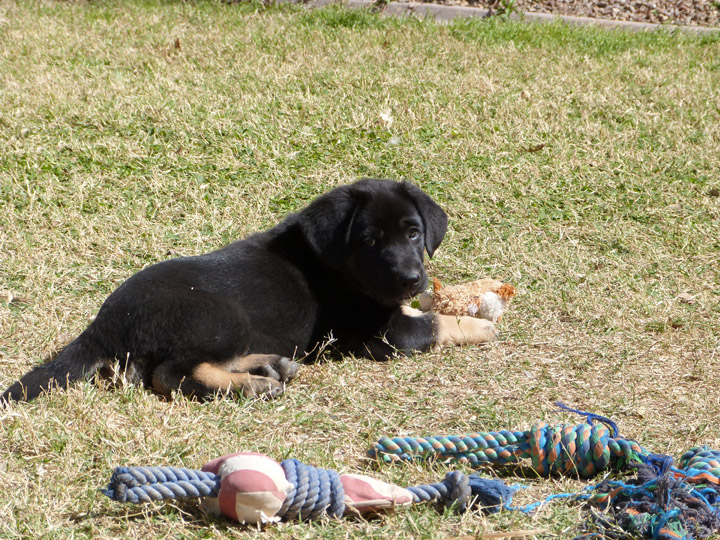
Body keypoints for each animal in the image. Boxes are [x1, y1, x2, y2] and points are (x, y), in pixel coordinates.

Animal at [1, 179, 496, 402]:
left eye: (413, 233)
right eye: (370, 241)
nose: (411, 279)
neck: (335, 266)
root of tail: (101, 325)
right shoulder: (382, 334)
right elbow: (433, 325)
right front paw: (480, 326)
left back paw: (270, 366)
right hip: (221, 313)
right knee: (170, 374)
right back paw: (256, 383)